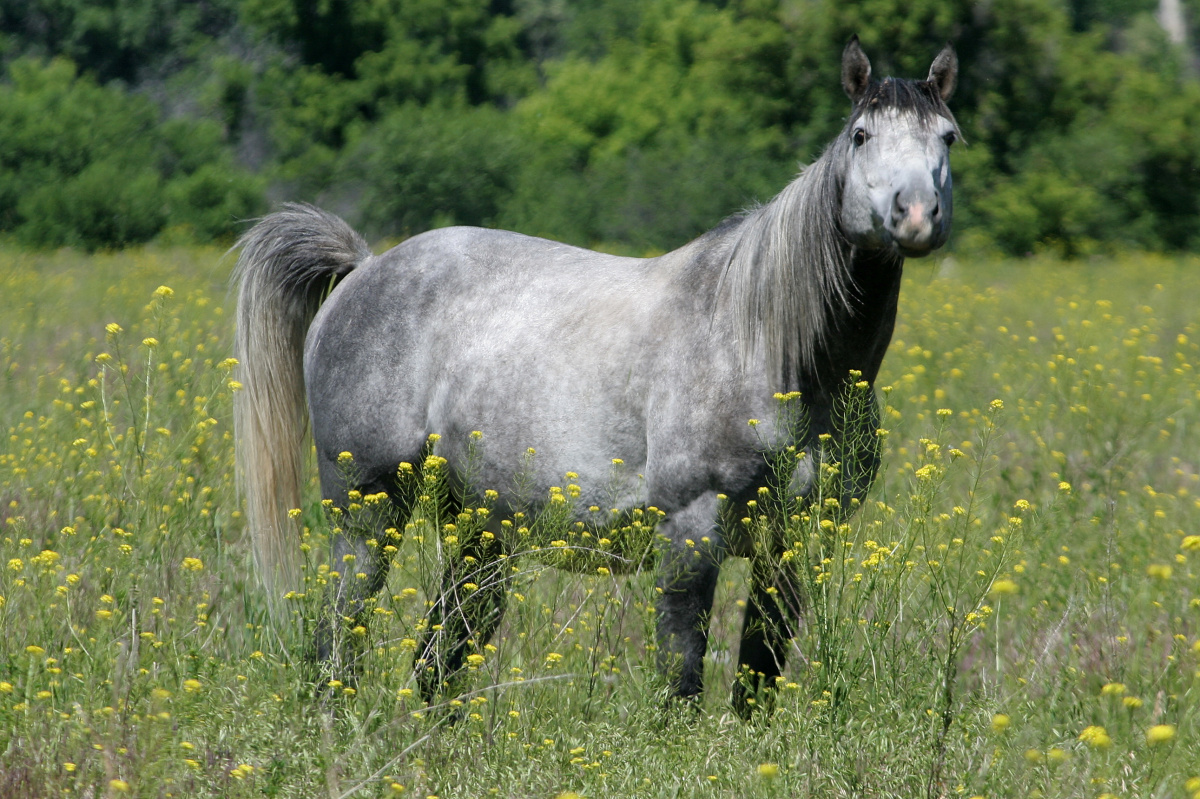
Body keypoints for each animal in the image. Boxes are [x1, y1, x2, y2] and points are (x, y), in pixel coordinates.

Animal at [231, 35, 964, 715]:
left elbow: (757, 679)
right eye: (862, 135)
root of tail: (363, 267)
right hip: (367, 516)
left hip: (480, 535)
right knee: (337, 647)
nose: (916, 216)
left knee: (436, 664)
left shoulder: (794, 543)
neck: (765, 349)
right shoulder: (690, 533)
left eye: (947, 136)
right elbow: (681, 680)